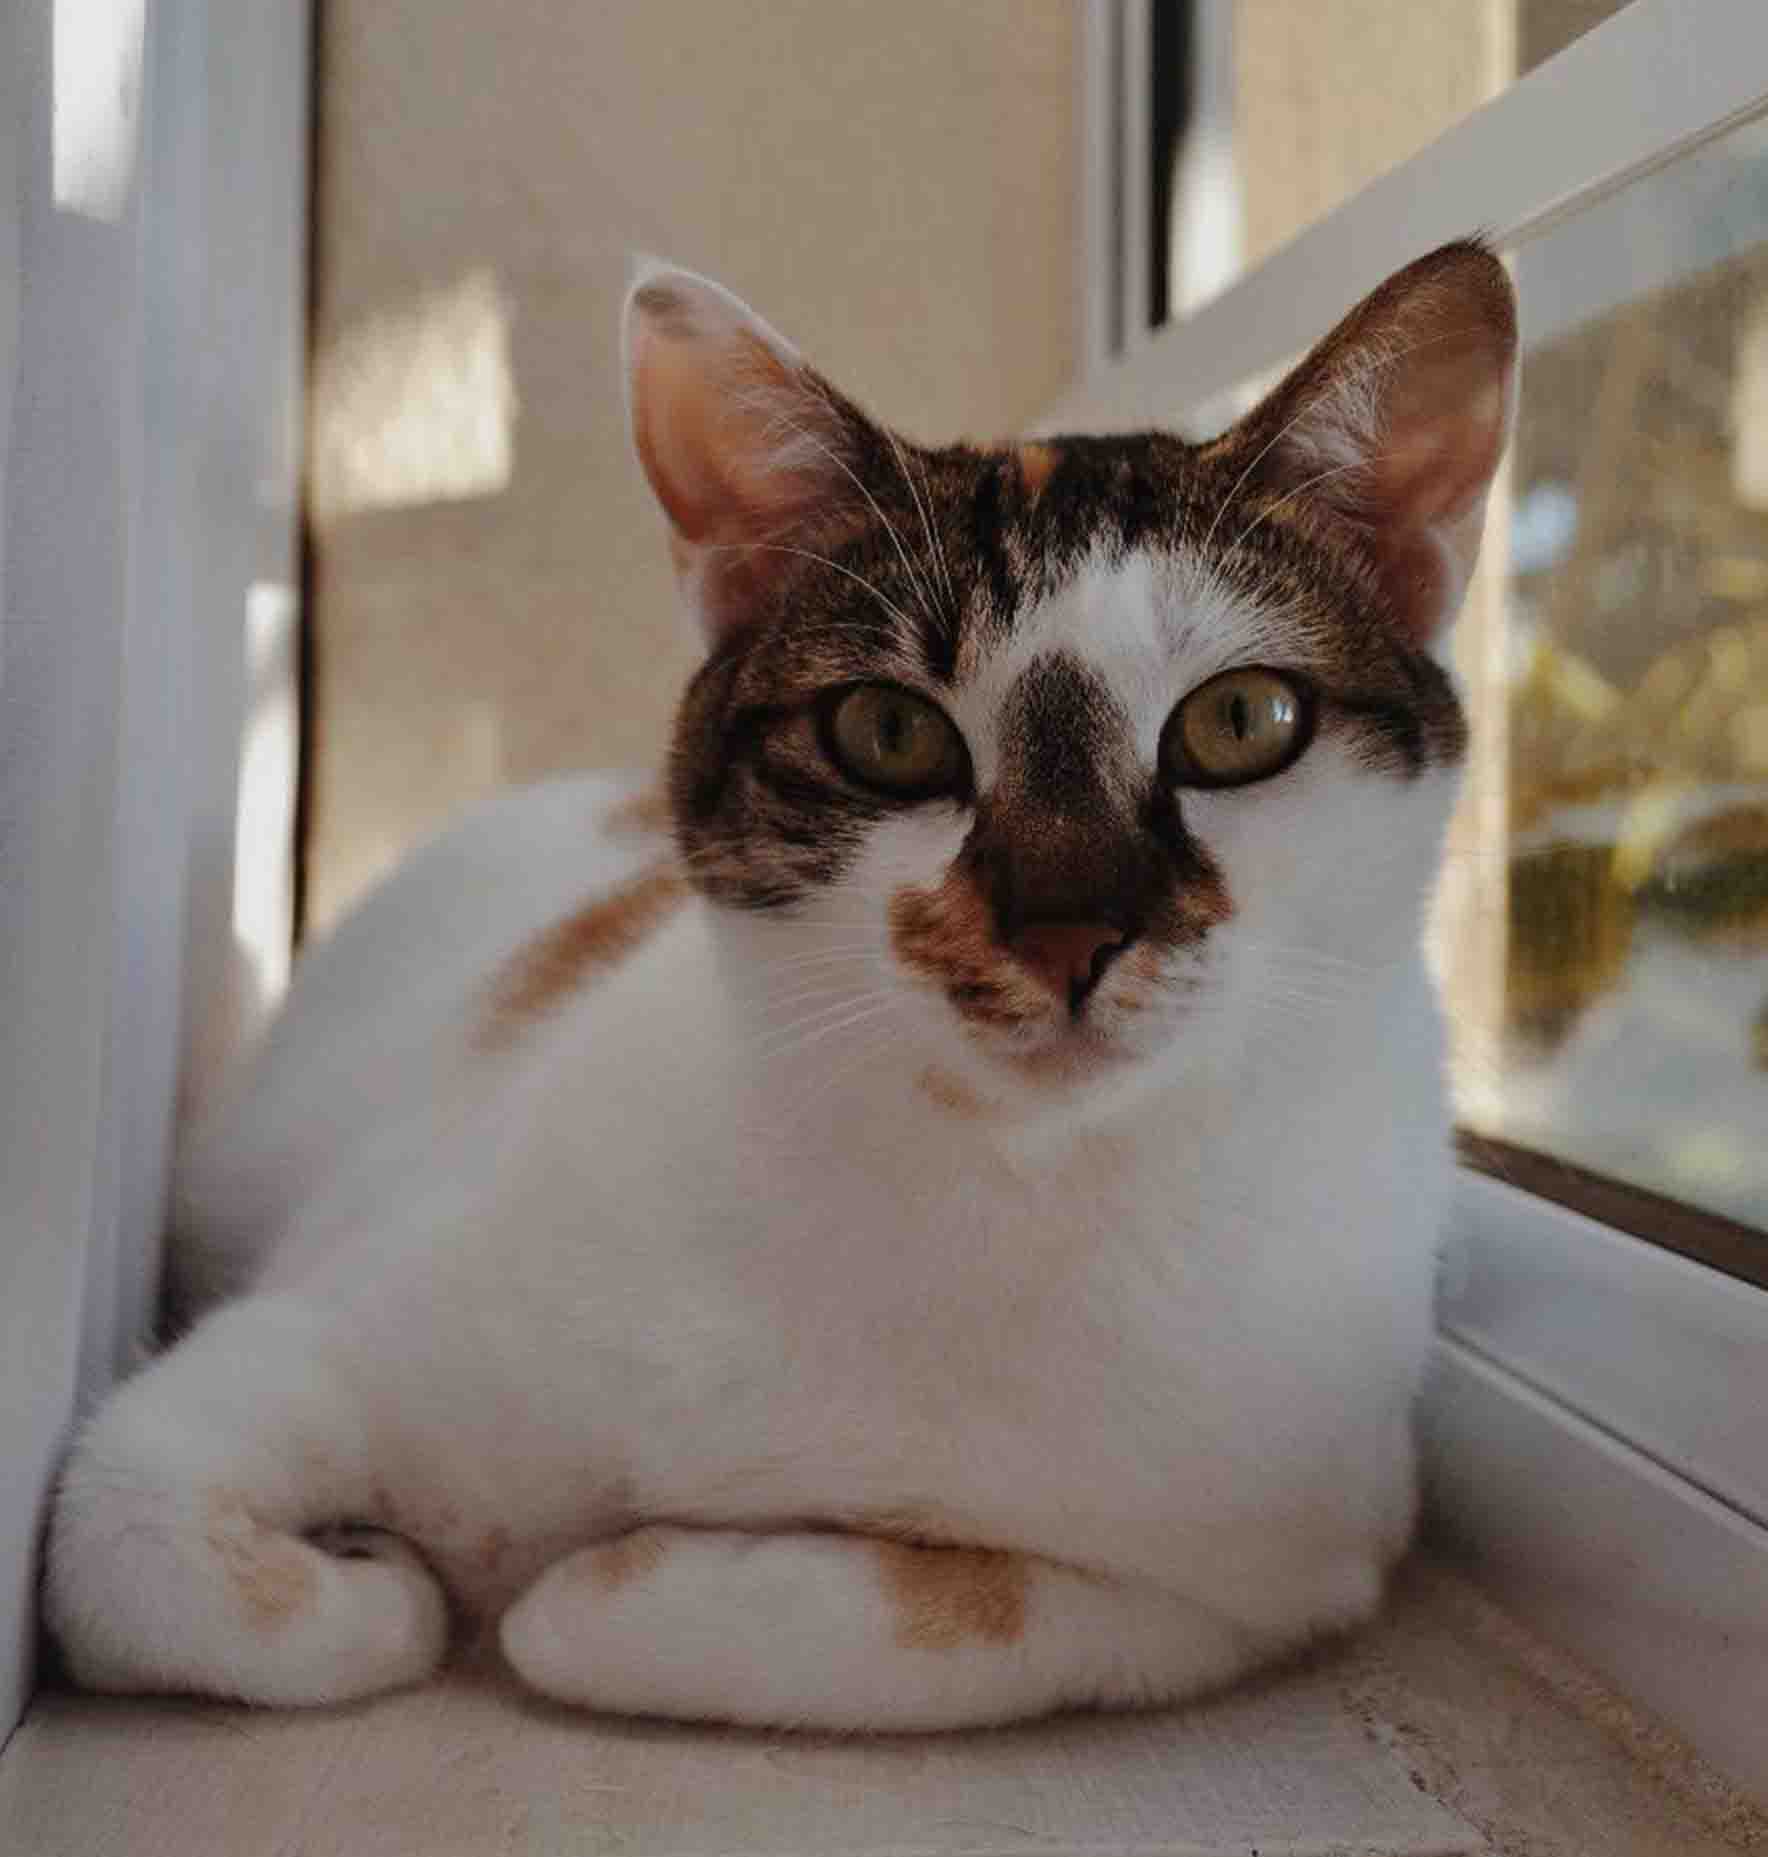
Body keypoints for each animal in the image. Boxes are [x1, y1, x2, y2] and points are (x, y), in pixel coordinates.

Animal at [51, 239, 1522, 1730]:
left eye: (1239, 721)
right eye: (888, 732)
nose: (1064, 929)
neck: (1002, 1194)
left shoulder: (1265, 1569)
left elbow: (925, 1622)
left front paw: (594, 1584)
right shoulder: (320, 1327)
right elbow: (122, 1539)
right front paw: (386, 1593)